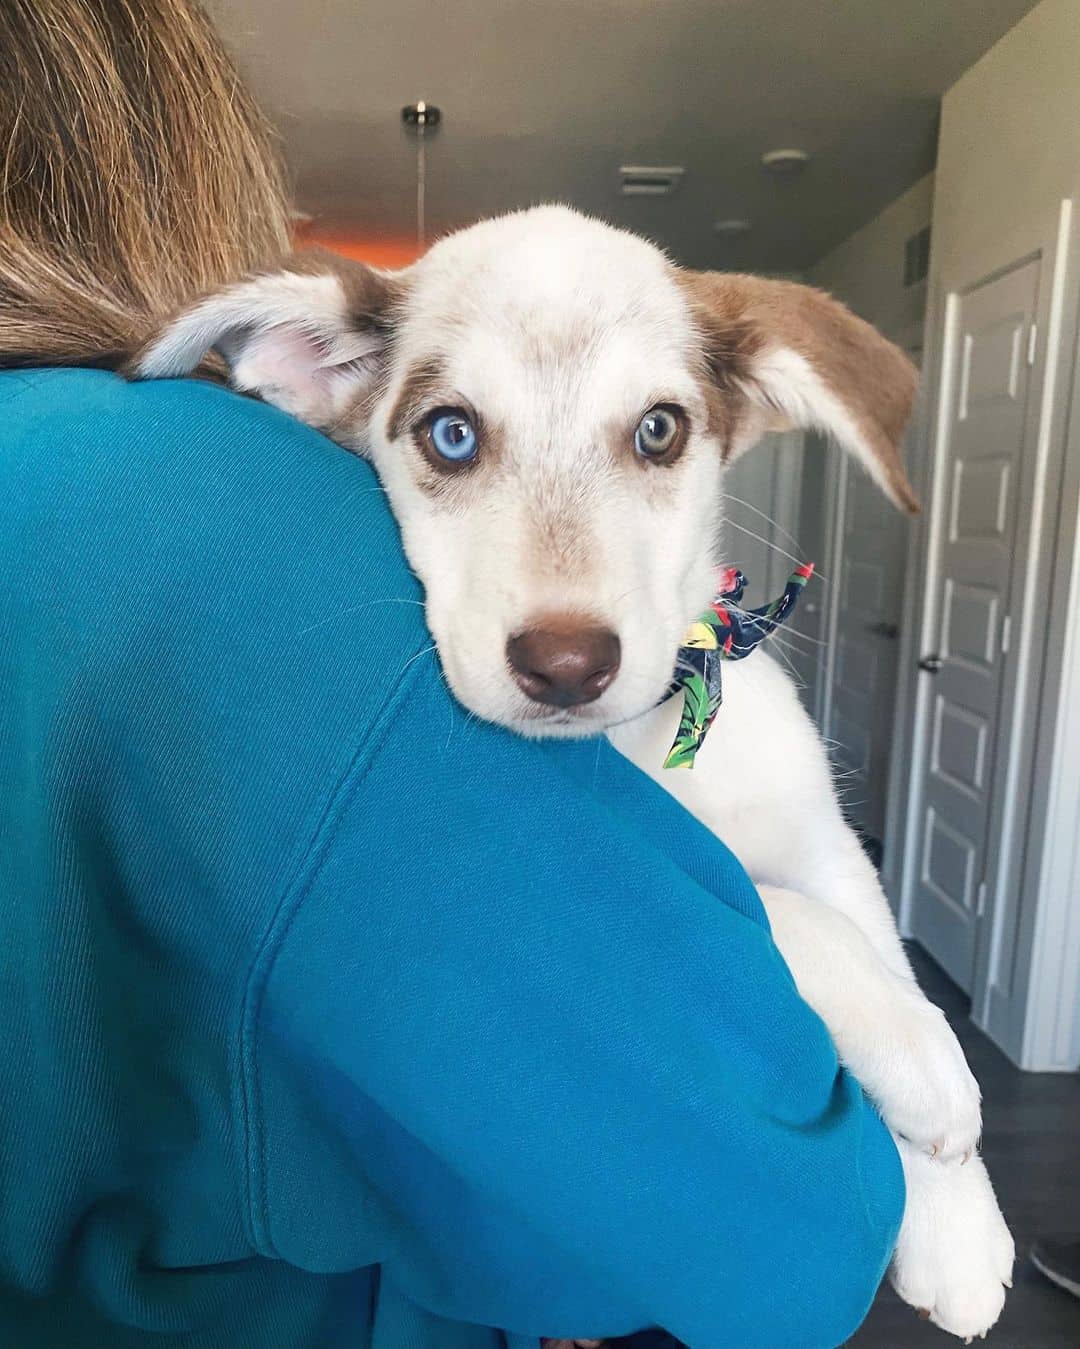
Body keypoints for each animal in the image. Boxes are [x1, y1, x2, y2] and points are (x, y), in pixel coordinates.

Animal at [132, 199, 1013, 1338]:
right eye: (451, 433)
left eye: (660, 430)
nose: (565, 664)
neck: (653, 742)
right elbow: (780, 912)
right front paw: (928, 1072)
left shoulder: (827, 838)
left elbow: (869, 931)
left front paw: (961, 1216)